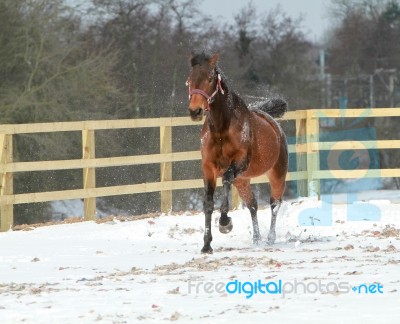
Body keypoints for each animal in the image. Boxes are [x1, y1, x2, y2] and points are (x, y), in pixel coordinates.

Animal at [188, 52, 288, 253]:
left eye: (210, 78)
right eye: (189, 80)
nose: (195, 111)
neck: (220, 130)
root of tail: (275, 125)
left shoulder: (239, 163)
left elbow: (226, 180)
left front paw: (225, 223)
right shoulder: (208, 168)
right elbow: (208, 202)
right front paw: (206, 245)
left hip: (277, 175)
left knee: (274, 204)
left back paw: (270, 238)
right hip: (242, 181)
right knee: (253, 205)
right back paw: (256, 238)